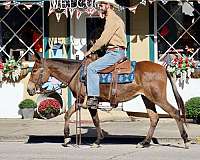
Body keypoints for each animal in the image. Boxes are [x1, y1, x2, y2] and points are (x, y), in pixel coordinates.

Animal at [26, 53, 189, 148]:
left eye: (34, 70)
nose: (29, 89)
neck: (77, 74)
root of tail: (162, 68)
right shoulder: (87, 102)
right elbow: (88, 119)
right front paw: (94, 140)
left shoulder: (83, 100)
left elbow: (84, 118)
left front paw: (70, 138)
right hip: (147, 98)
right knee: (154, 118)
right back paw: (145, 142)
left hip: (158, 97)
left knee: (175, 113)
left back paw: (186, 140)